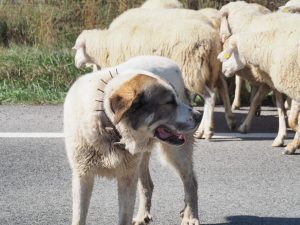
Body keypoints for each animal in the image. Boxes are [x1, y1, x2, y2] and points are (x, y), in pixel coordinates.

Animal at [64, 55, 203, 224]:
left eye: (175, 99)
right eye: (169, 102)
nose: (199, 116)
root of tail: (170, 61)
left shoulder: (127, 178)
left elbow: (124, 217)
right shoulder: (82, 175)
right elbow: (79, 217)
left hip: (176, 154)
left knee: (191, 182)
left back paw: (190, 216)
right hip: (141, 160)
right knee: (147, 185)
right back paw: (143, 215)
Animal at [73, 9, 237, 140]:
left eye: (78, 48)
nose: (75, 63)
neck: (105, 44)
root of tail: (212, 36)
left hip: (192, 70)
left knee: (210, 97)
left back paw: (205, 131)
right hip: (212, 68)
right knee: (222, 86)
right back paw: (228, 120)